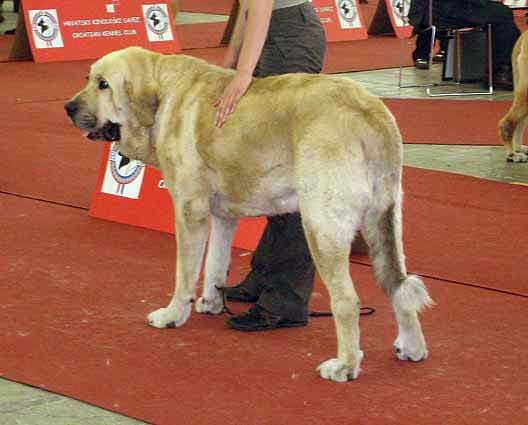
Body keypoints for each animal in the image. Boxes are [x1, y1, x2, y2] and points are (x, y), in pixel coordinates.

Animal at [64, 46, 432, 380]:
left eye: (103, 84)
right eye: (88, 78)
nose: (68, 108)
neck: (164, 95)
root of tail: (371, 112)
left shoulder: (190, 210)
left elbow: (185, 272)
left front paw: (172, 315)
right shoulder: (222, 216)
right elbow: (215, 263)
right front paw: (211, 303)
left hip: (321, 225)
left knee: (347, 301)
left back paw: (345, 365)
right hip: (385, 219)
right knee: (400, 285)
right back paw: (411, 347)